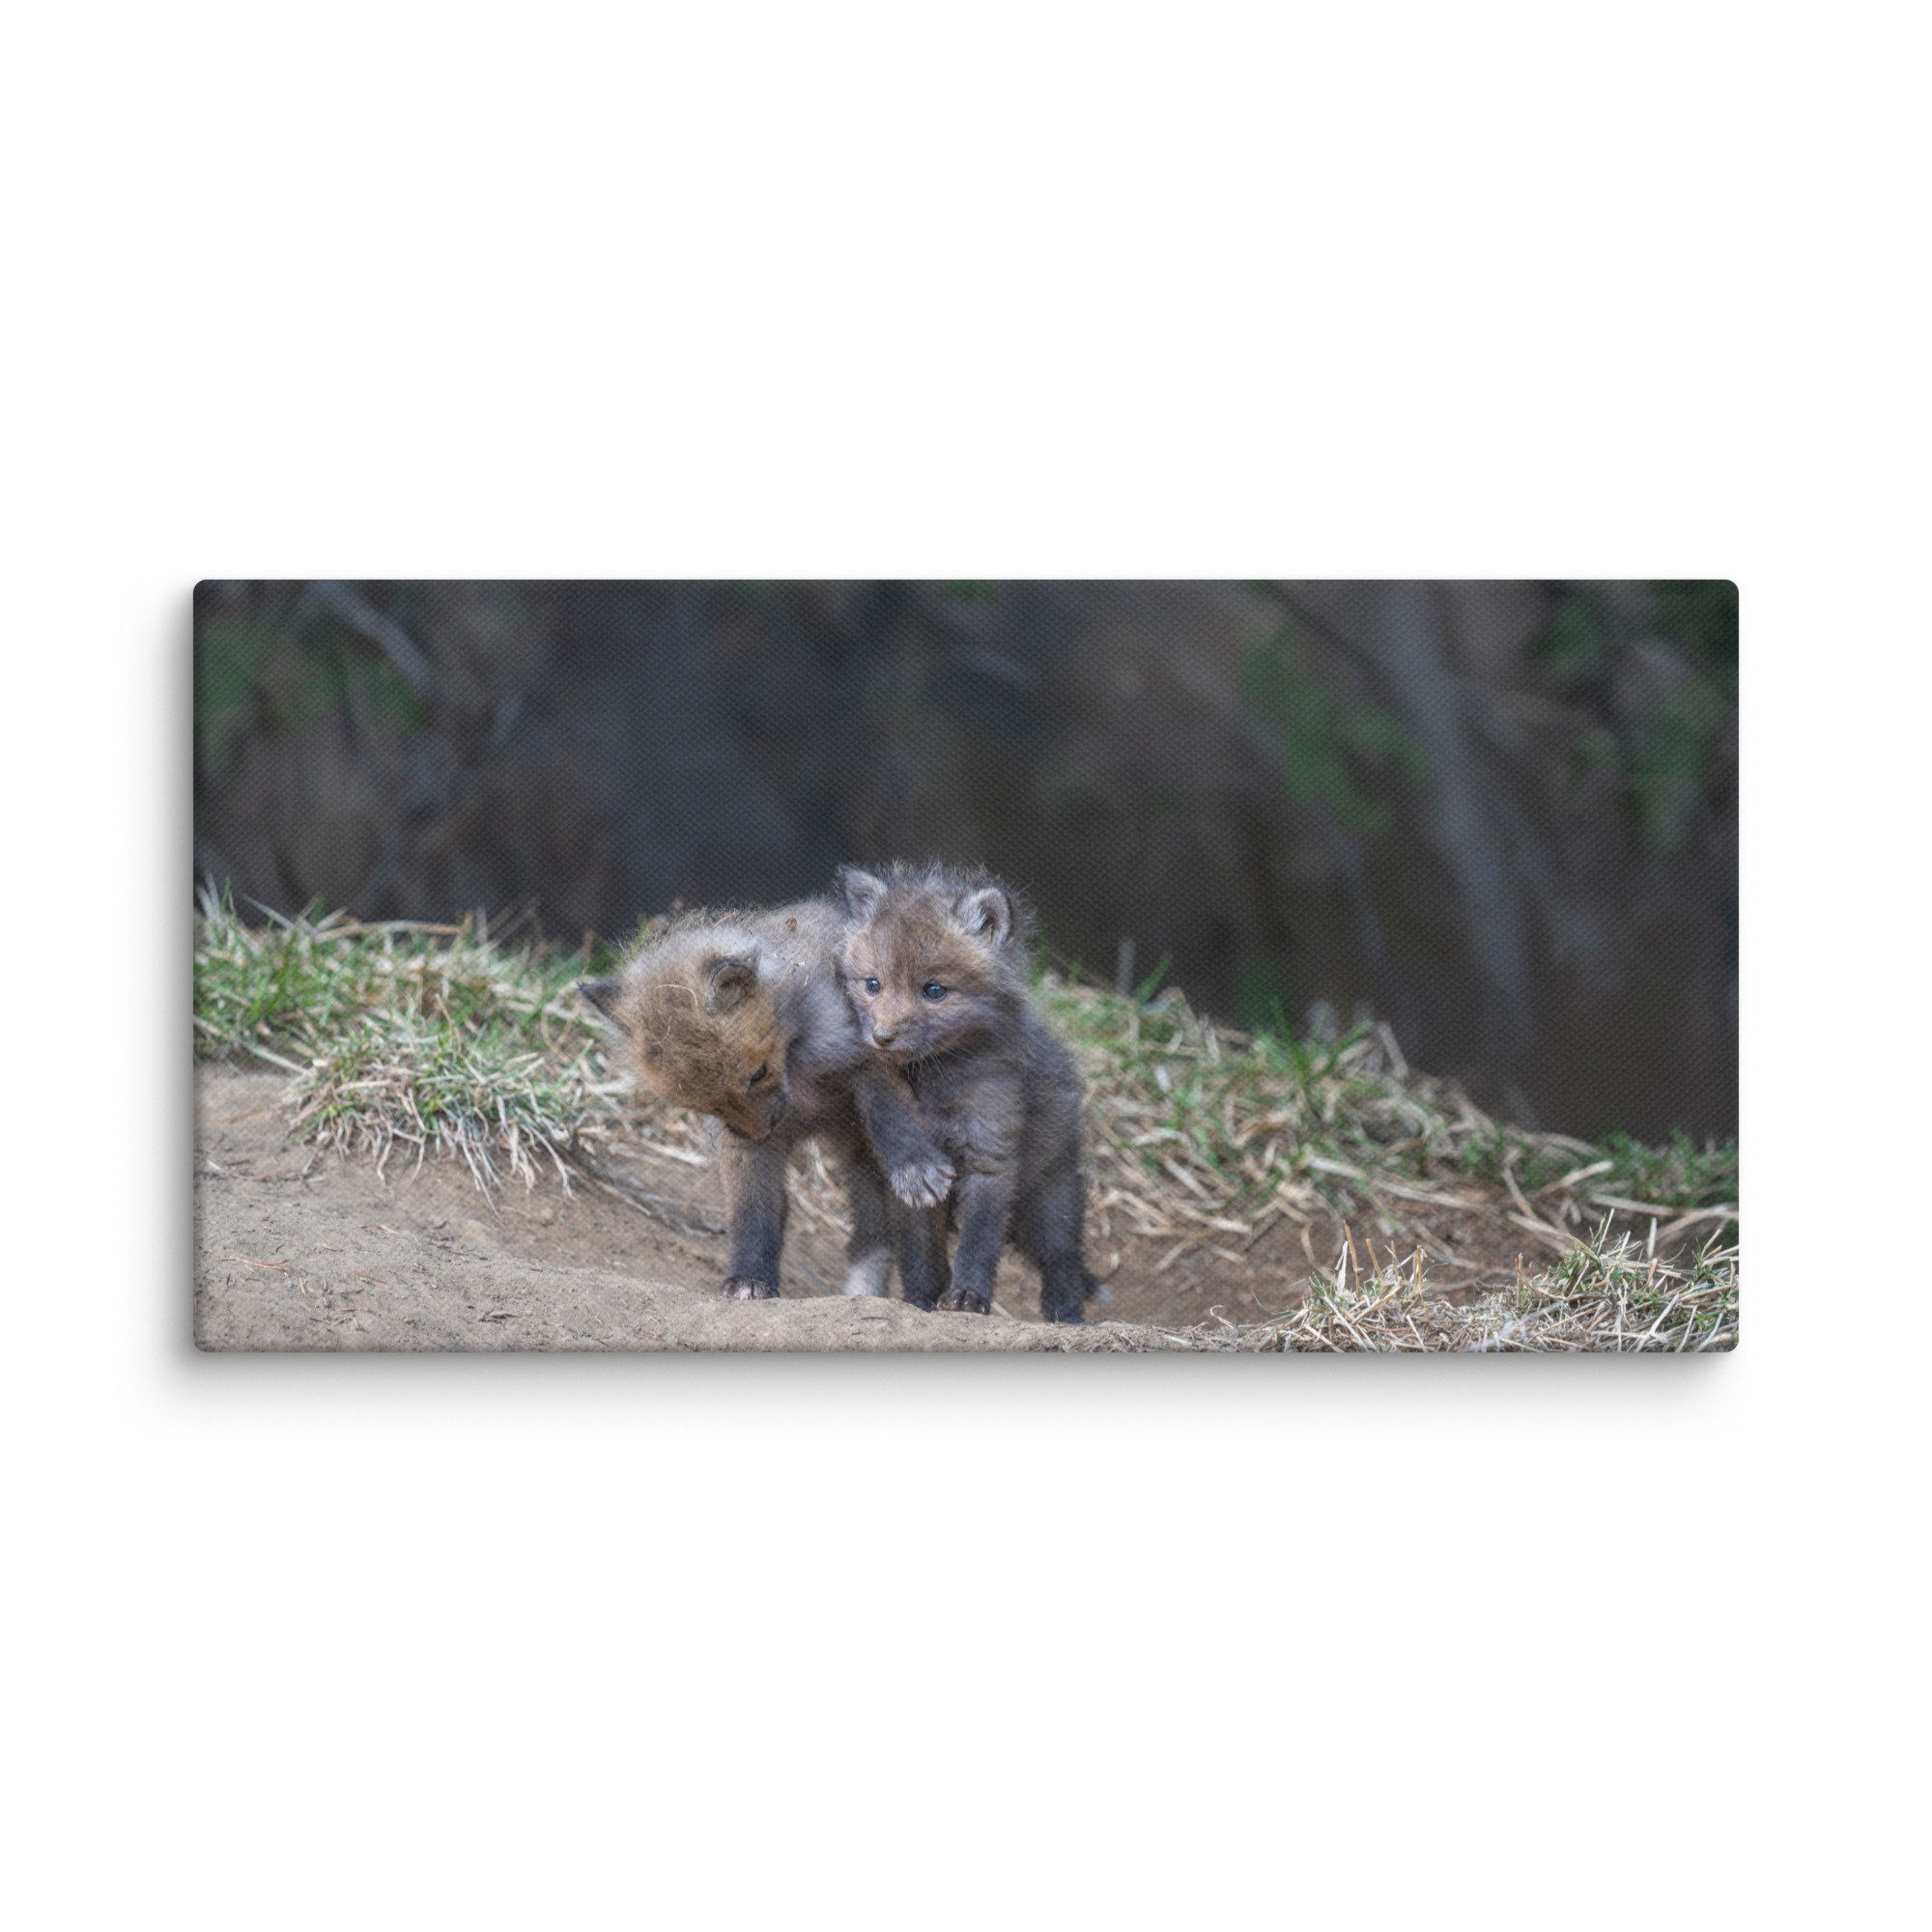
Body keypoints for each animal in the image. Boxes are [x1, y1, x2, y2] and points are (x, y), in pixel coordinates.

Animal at [579, 899, 954, 1302]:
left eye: (757, 1074)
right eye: (702, 1104)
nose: (762, 1133)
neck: (798, 1067)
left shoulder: (870, 1055)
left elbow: (890, 1114)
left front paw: (914, 1164)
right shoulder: (741, 1144)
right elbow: (751, 1213)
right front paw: (750, 1278)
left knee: (915, 1240)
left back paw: (925, 1298)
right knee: (871, 1237)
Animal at [835, 861, 1098, 1324]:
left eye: (934, 991)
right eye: (873, 984)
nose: (881, 1037)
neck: (935, 1081)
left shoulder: (990, 1155)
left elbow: (978, 1242)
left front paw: (967, 1298)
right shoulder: (909, 1183)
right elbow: (919, 1251)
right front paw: (922, 1300)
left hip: (1050, 1198)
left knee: (1063, 1258)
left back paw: (1066, 1317)